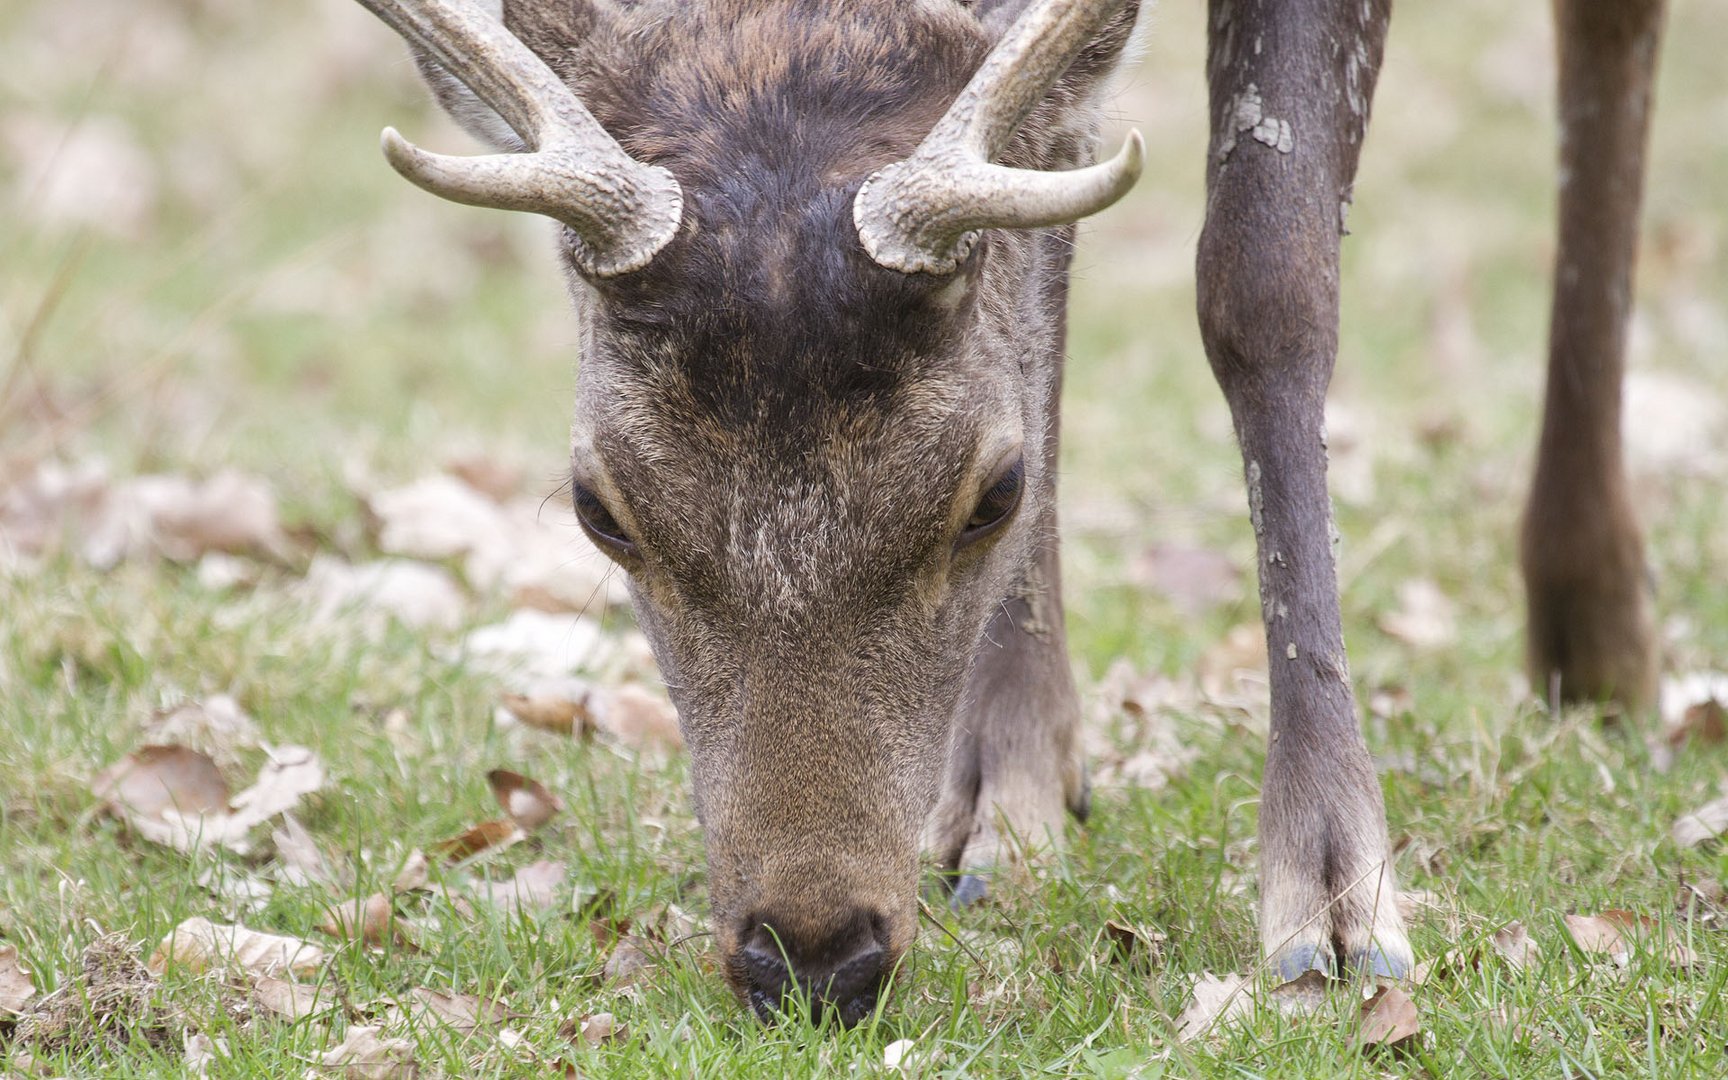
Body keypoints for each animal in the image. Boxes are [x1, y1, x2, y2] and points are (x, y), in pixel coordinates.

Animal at [347, 0, 1658, 1022]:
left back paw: (1598, 628)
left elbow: (1266, 273)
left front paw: (1335, 898)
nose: (814, 957)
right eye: (599, 507)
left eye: (993, 494)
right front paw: (1007, 803)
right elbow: (1049, 238)